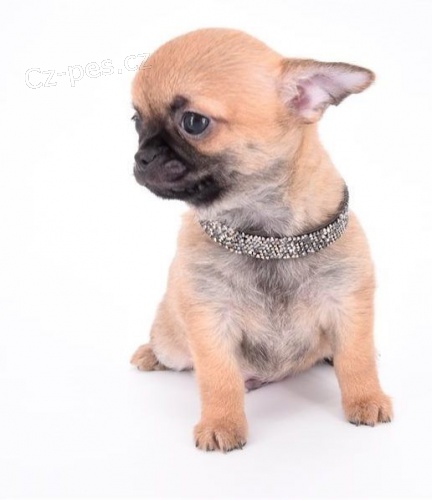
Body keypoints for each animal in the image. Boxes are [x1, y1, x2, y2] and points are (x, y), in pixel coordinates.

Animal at [130, 28, 392, 452]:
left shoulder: (348, 305)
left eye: (193, 122)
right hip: (172, 340)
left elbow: (357, 359)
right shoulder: (210, 322)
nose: (141, 158)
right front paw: (222, 422)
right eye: (136, 121)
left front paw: (366, 398)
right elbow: (218, 379)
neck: (263, 234)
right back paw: (150, 354)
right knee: (169, 349)